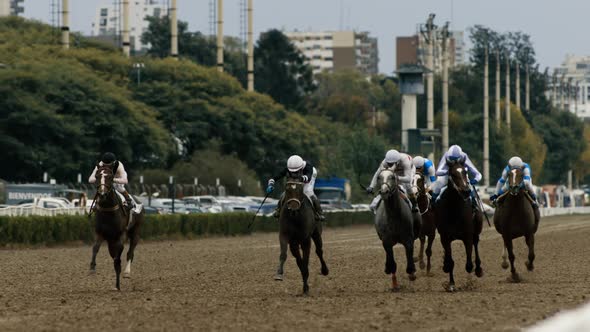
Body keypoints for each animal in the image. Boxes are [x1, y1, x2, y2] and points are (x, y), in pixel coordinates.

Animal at [434, 162, 486, 292]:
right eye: (453, 174)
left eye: (465, 172)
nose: (466, 191)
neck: (454, 209)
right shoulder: (445, 237)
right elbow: (450, 261)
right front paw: (451, 283)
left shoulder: (467, 236)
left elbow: (469, 264)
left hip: (476, 231)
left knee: (476, 244)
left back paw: (478, 269)